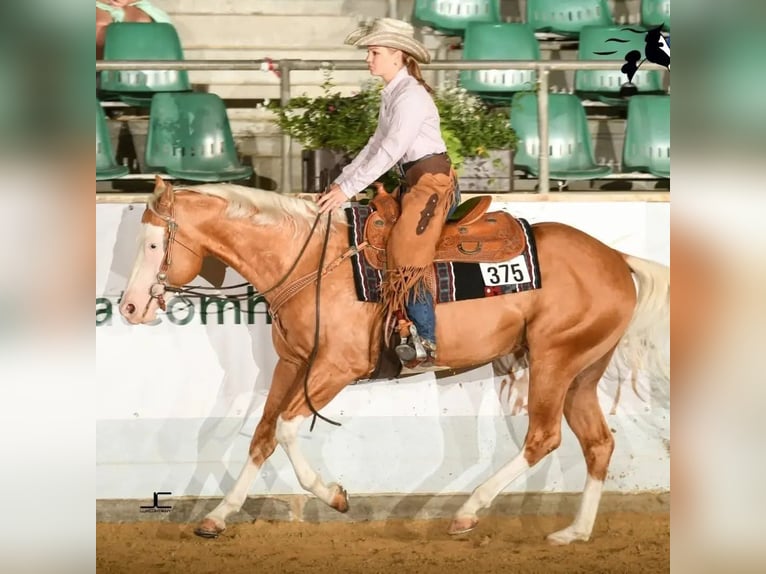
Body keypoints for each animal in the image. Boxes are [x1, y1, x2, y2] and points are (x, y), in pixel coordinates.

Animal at [119, 177, 669, 543]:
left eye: (154, 243)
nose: (128, 307)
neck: (310, 262)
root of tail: (616, 260)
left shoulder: (335, 368)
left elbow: (289, 430)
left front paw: (334, 495)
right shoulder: (290, 364)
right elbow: (263, 434)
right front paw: (218, 515)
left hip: (555, 359)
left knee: (544, 437)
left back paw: (470, 511)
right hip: (582, 371)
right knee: (598, 443)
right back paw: (574, 532)